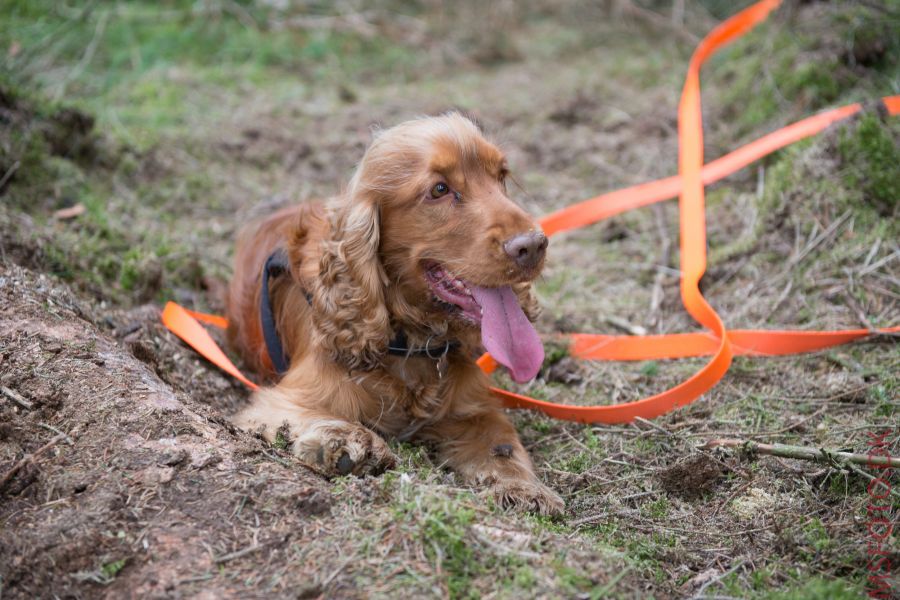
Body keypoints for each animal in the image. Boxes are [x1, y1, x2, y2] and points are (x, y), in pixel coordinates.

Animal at [225, 112, 564, 516]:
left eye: (501, 175)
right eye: (439, 190)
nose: (534, 246)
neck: (410, 339)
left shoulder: (473, 408)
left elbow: (502, 441)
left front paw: (525, 488)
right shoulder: (281, 399)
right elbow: (306, 415)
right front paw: (346, 442)